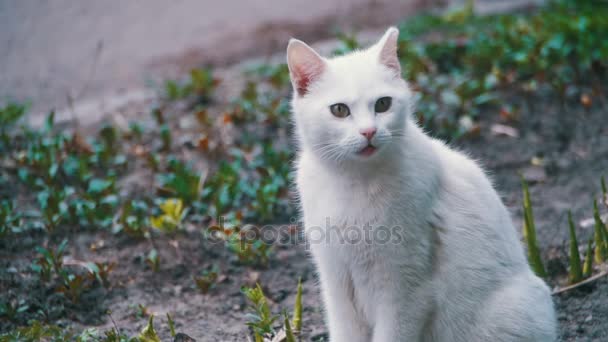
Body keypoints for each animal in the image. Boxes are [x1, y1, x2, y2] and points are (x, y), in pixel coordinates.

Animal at [288, 28, 560, 340]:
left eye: (383, 104)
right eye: (340, 110)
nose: (369, 131)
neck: (353, 181)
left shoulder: (405, 291)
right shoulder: (338, 287)